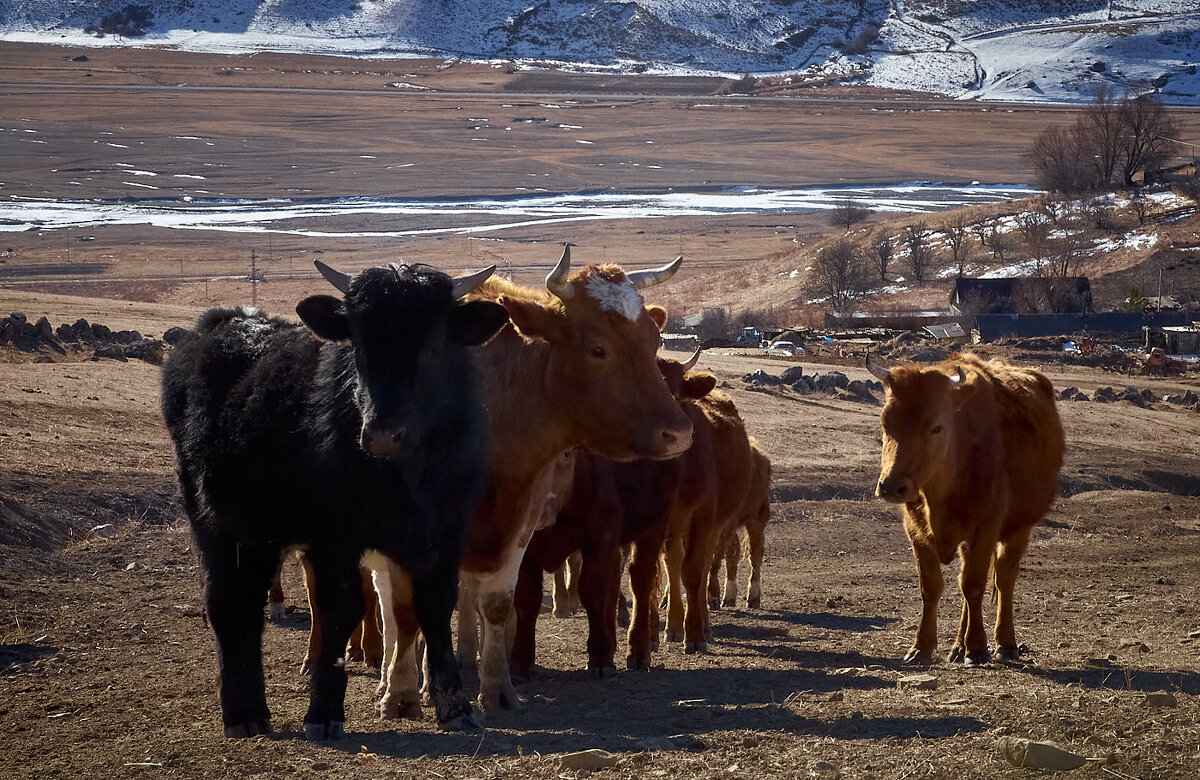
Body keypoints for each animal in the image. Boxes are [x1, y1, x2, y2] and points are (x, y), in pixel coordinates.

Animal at [159, 259, 506, 734]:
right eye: (357, 345)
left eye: (435, 344)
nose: (383, 434)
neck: (406, 477)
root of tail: (222, 323)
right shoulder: (334, 541)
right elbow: (341, 610)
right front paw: (323, 712)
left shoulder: (446, 533)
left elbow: (435, 606)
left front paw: (455, 705)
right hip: (215, 523)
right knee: (229, 605)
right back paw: (242, 715)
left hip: (258, 535)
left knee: (251, 604)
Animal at [374, 246, 696, 715]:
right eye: (598, 348)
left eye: (654, 342)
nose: (679, 433)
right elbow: (406, 610)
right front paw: (401, 693)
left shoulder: (522, 527)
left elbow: (501, 603)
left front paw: (498, 686)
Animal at [868, 352, 1065, 662]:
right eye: (885, 423)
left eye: (936, 427)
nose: (890, 486)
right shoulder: (916, 532)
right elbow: (931, 587)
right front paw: (921, 647)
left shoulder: (985, 530)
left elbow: (973, 585)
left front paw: (977, 648)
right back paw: (958, 645)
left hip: (1019, 529)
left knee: (1004, 579)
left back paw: (1004, 643)